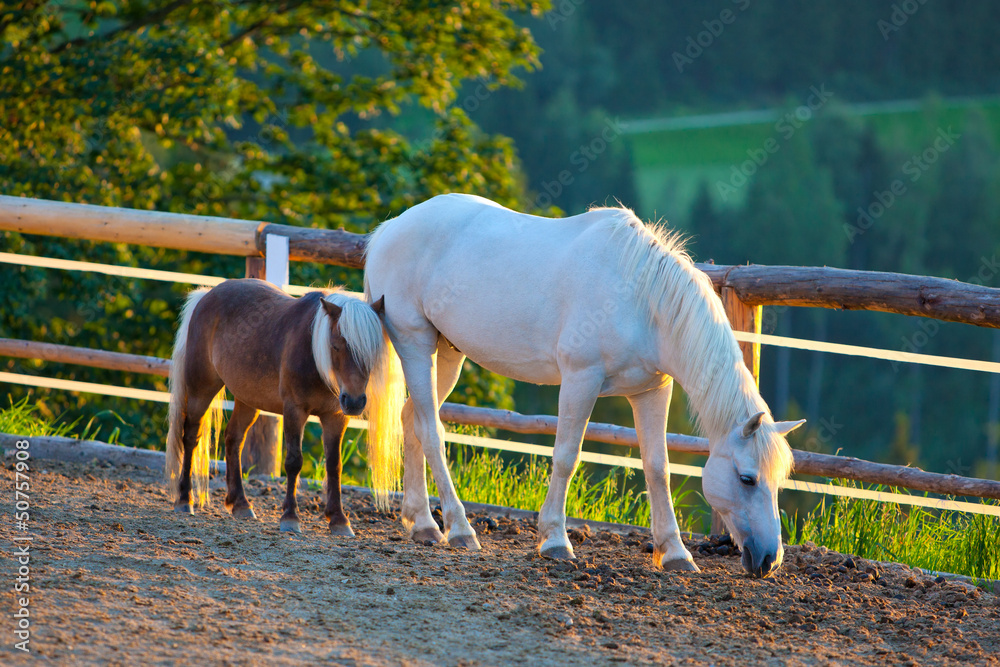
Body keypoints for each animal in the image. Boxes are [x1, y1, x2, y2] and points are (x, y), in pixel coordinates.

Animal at [164, 280, 402, 536]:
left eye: (373, 349)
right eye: (336, 346)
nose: (355, 401)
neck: (313, 354)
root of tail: (206, 295)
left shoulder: (336, 417)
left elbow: (334, 465)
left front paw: (339, 519)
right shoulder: (294, 411)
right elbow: (294, 462)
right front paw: (290, 517)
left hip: (248, 400)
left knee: (233, 439)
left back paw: (240, 504)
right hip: (201, 389)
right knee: (190, 437)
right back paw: (184, 499)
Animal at [366, 194, 804, 580]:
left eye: (779, 479)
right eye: (747, 478)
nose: (770, 560)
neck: (641, 300)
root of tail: (389, 229)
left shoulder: (651, 392)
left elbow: (657, 468)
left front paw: (676, 554)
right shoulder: (581, 379)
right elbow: (566, 456)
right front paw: (555, 541)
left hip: (448, 353)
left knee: (412, 419)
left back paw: (423, 524)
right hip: (415, 342)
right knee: (431, 430)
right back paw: (459, 529)